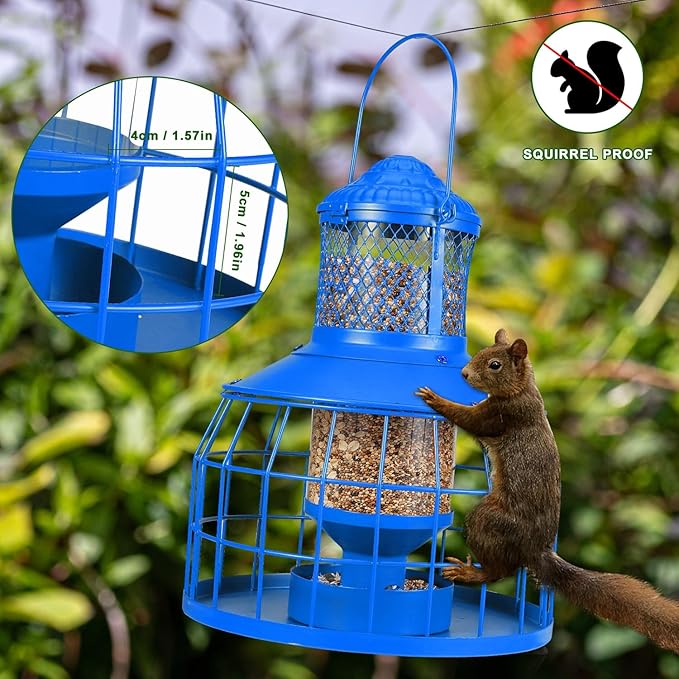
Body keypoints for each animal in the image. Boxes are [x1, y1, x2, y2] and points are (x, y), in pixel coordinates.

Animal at [416, 329, 679, 654]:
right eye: (481, 352)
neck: (522, 390)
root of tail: (534, 549)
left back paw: (471, 572)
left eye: (494, 365)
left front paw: (435, 399)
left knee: (499, 571)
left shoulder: (504, 414)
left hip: (489, 520)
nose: (464, 373)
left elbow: (468, 418)